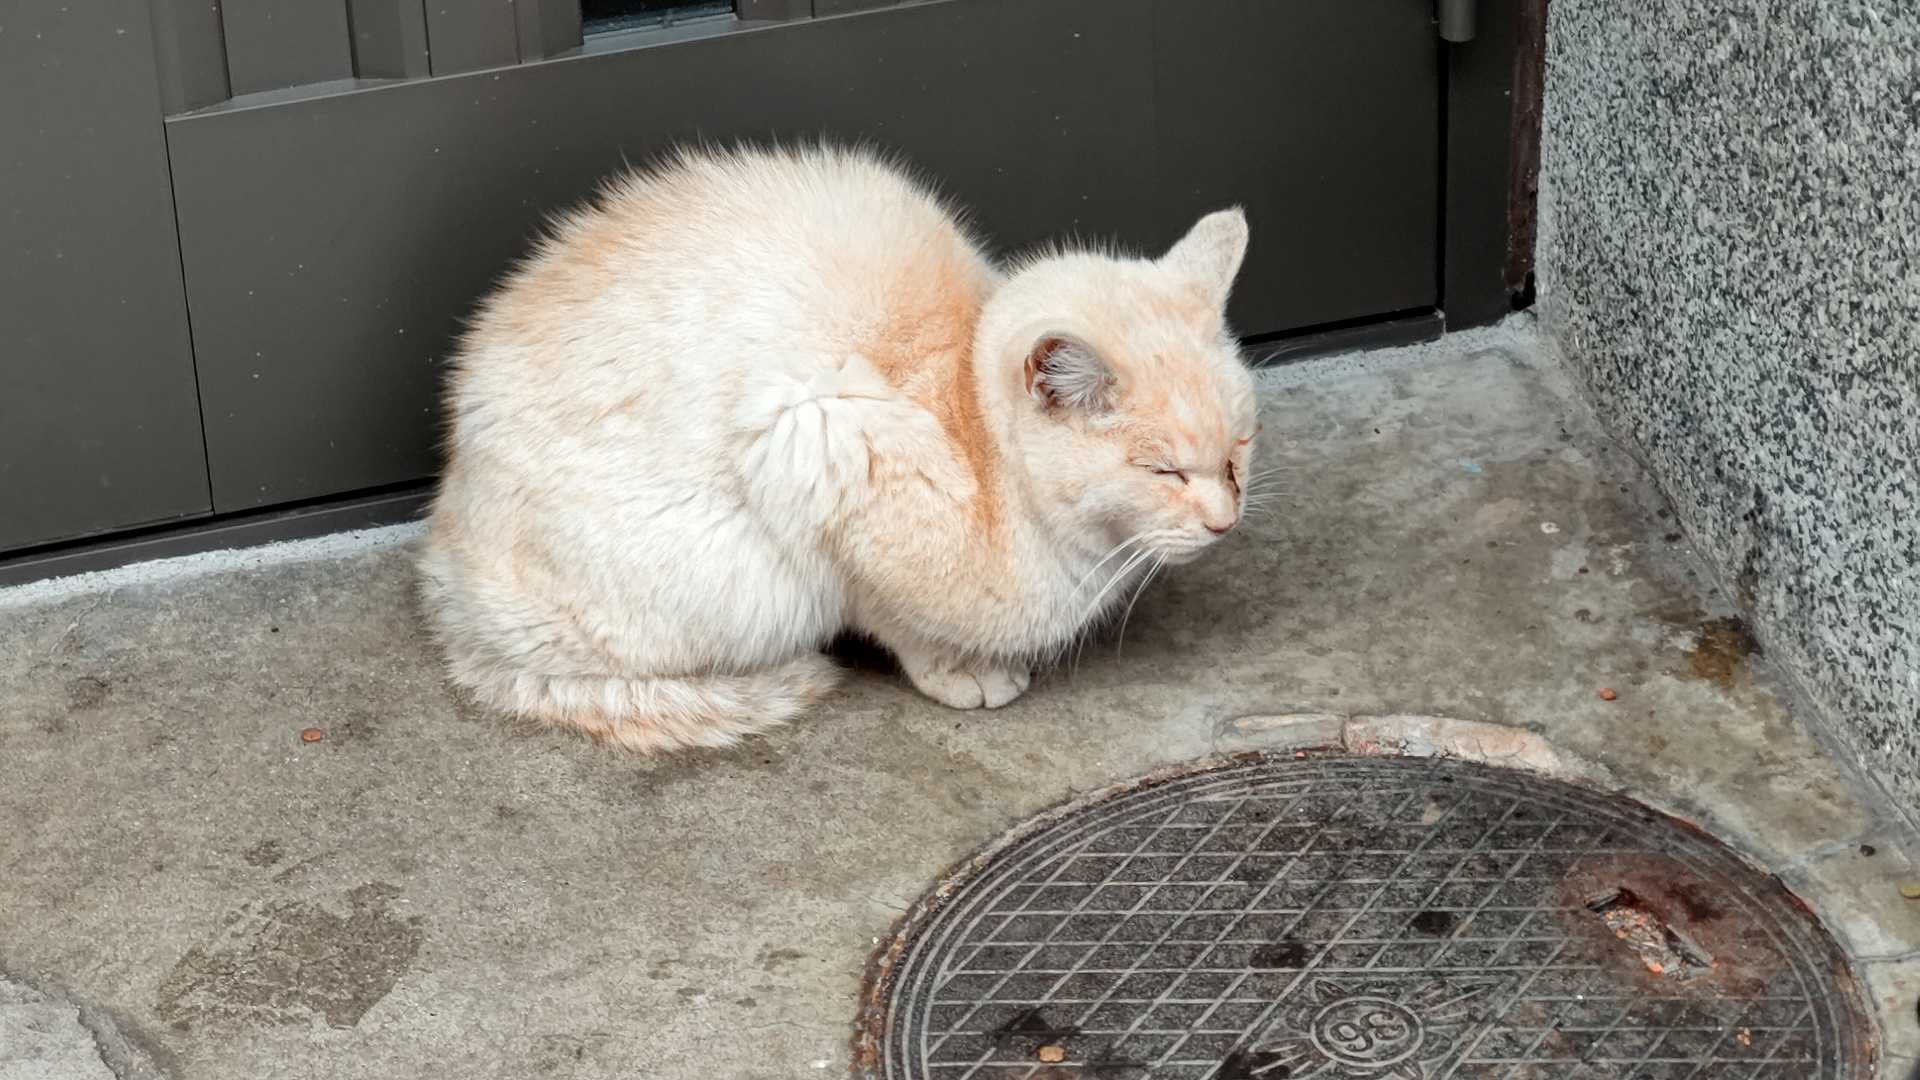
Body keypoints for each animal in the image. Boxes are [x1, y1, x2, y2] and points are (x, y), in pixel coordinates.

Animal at [419, 143, 1258, 752]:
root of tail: (442, 574)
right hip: (741, 588)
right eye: (1164, 471)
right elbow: (894, 614)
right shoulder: (815, 433)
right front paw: (962, 672)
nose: (1226, 521)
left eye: (1238, 452)